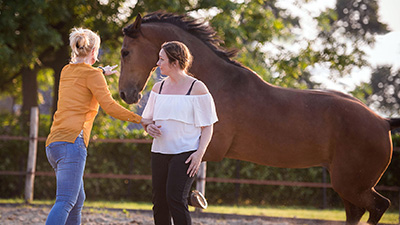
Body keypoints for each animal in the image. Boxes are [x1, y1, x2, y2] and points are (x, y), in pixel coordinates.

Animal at [118, 11, 400, 223]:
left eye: (125, 52)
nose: (125, 94)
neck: (217, 83)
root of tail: (383, 122)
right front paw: (197, 198)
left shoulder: (210, 148)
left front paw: (198, 198)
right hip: (345, 182)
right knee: (357, 211)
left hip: (352, 184)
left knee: (379, 205)